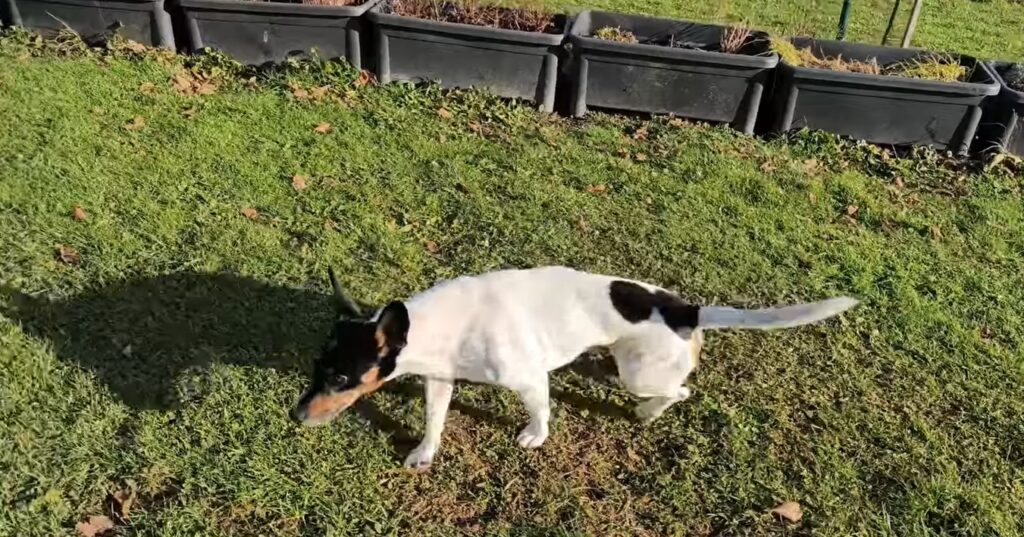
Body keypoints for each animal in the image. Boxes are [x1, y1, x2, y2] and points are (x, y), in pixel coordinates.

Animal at [292, 266, 858, 471]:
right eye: (317, 368)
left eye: (340, 378)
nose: (295, 417)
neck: (441, 327)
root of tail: (687, 311)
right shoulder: (439, 379)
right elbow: (434, 422)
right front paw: (424, 454)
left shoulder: (528, 379)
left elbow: (540, 413)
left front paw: (534, 437)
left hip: (643, 373)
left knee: (680, 392)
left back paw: (649, 413)